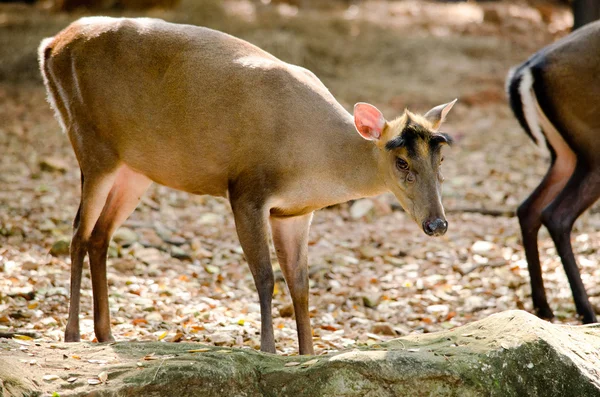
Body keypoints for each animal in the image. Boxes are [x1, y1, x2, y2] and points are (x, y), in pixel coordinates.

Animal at [39, 17, 458, 354]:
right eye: (401, 161)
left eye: (440, 159)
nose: (437, 224)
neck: (314, 159)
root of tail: (51, 45)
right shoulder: (245, 190)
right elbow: (265, 277)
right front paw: (268, 351)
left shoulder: (294, 212)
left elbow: (300, 284)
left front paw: (307, 353)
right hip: (91, 142)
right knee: (77, 232)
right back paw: (72, 335)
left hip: (135, 170)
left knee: (100, 235)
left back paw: (106, 333)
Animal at [506, 20, 600, 324]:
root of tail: (527, 69)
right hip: (594, 149)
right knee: (557, 215)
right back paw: (586, 311)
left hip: (564, 154)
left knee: (528, 208)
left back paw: (543, 307)